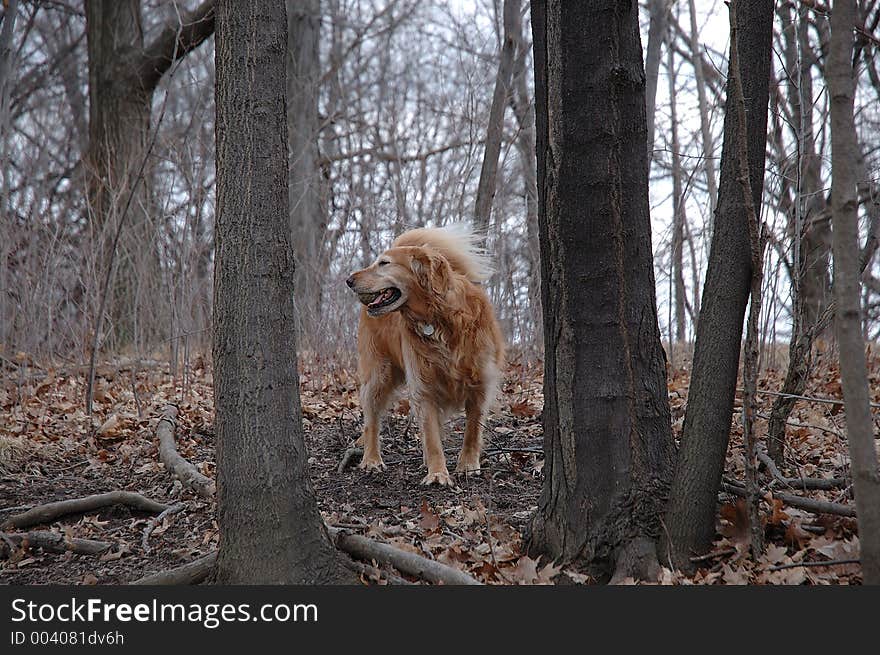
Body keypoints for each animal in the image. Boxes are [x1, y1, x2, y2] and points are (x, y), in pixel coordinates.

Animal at [348, 226, 506, 486]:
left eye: (384, 263)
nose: (349, 280)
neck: (440, 319)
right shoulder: (424, 387)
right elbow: (432, 437)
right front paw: (437, 474)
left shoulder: (481, 383)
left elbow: (472, 430)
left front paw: (467, 465)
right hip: (379, 374)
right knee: (371, 420)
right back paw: (371, 459)